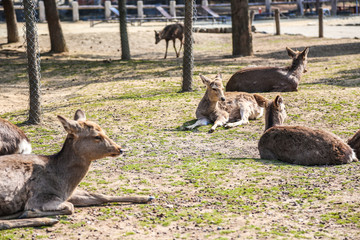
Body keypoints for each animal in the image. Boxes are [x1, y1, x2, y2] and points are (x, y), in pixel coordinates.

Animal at [0, 109, 153, 230]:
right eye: (96, 136)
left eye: (104, 131)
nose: (120, 149)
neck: (64, 182)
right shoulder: (40, 197)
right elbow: (70, 206)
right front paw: (29, 211)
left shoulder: (68, 193)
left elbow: (100, 196)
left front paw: (147, 197)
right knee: (3, 223)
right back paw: (46, 219)